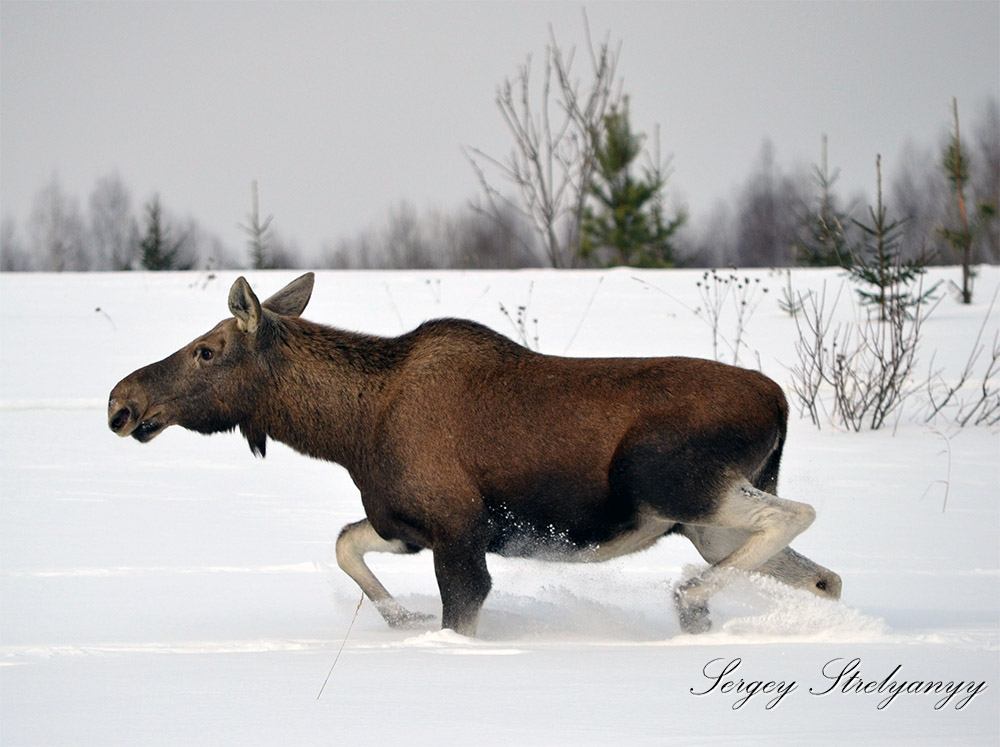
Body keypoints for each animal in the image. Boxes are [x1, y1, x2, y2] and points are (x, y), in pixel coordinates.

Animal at [109, 274, 840, 636]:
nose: (122, 400)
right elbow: (344, 543)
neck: (346, 431)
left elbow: (458, 614)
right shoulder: (405, 525)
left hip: (680, 485)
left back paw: (689, 598)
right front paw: (400, 617)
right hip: (707, 523)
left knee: (794, 514)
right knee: (823, 576)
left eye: (208, 349)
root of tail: (780, 402)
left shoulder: (457, 532)